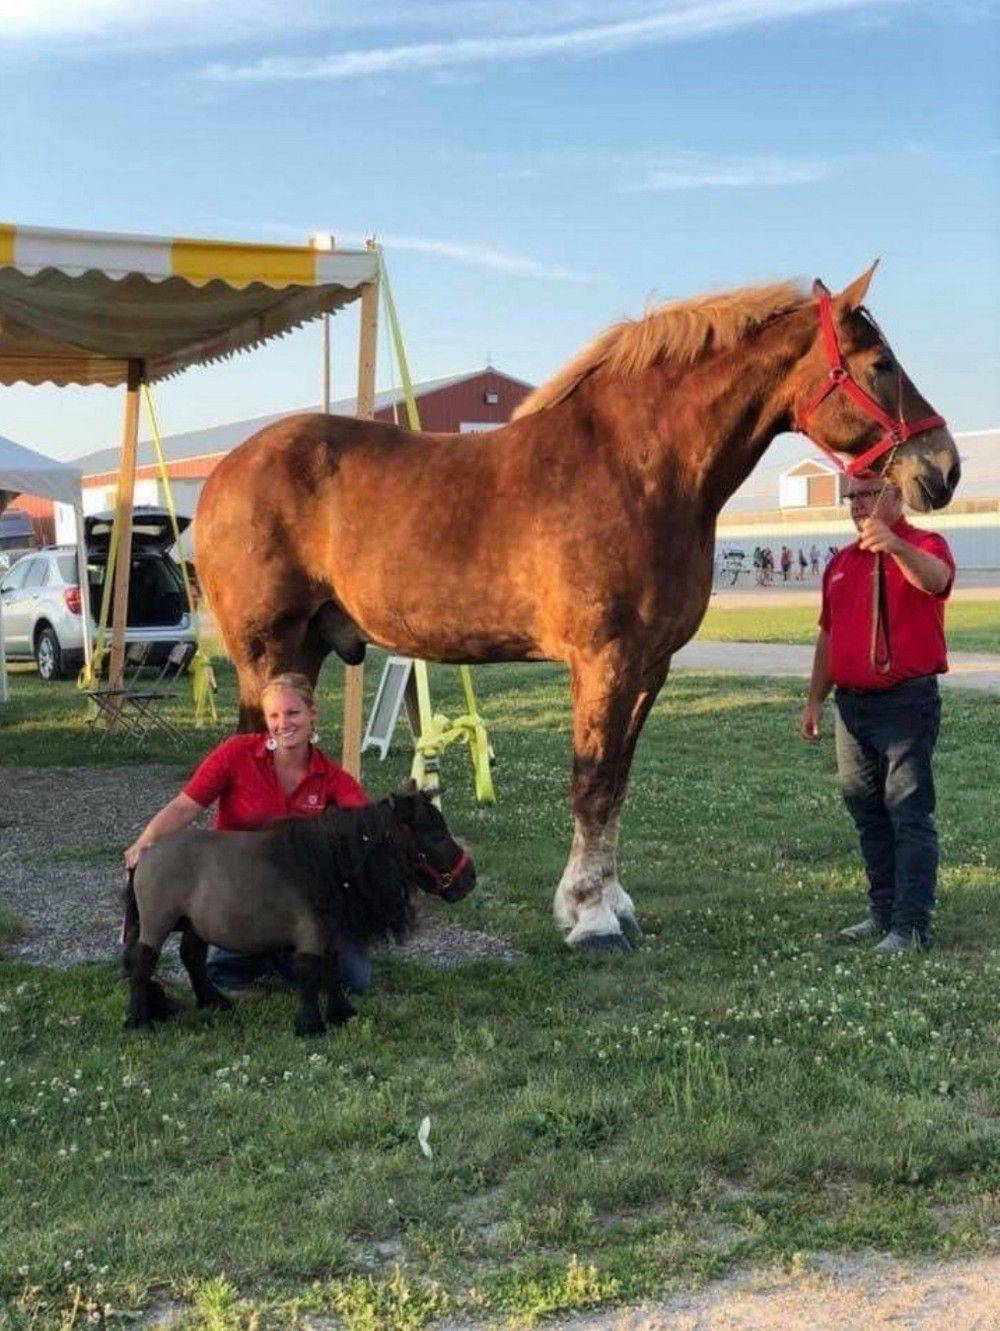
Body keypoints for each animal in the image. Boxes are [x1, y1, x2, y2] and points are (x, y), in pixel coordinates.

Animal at [197, 267, 964, 958]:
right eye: (880, 363)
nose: (944, 469)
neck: (638, 466)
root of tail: (222, 474)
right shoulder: (605, 660)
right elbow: (591, 784)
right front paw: (592, 919)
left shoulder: (650, 666)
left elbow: (616, 783)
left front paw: (609, 902)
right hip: (267, 651)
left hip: (302, 651)